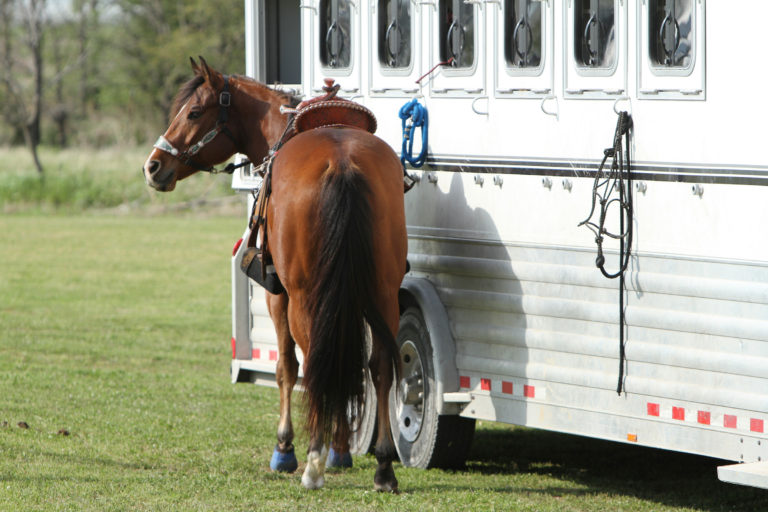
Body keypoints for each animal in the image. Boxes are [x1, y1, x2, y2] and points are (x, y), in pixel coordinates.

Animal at [142, 57, 407, 492]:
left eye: (193, 112)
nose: (153, 166)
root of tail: (342, 162)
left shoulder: (276, 295)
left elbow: (286, 367)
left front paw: (286, 448)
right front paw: (341, 449)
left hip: (302, 297)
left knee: (314, 361)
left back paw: (312, 462)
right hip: (382, 292)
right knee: (379, 364)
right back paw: (383, 466)